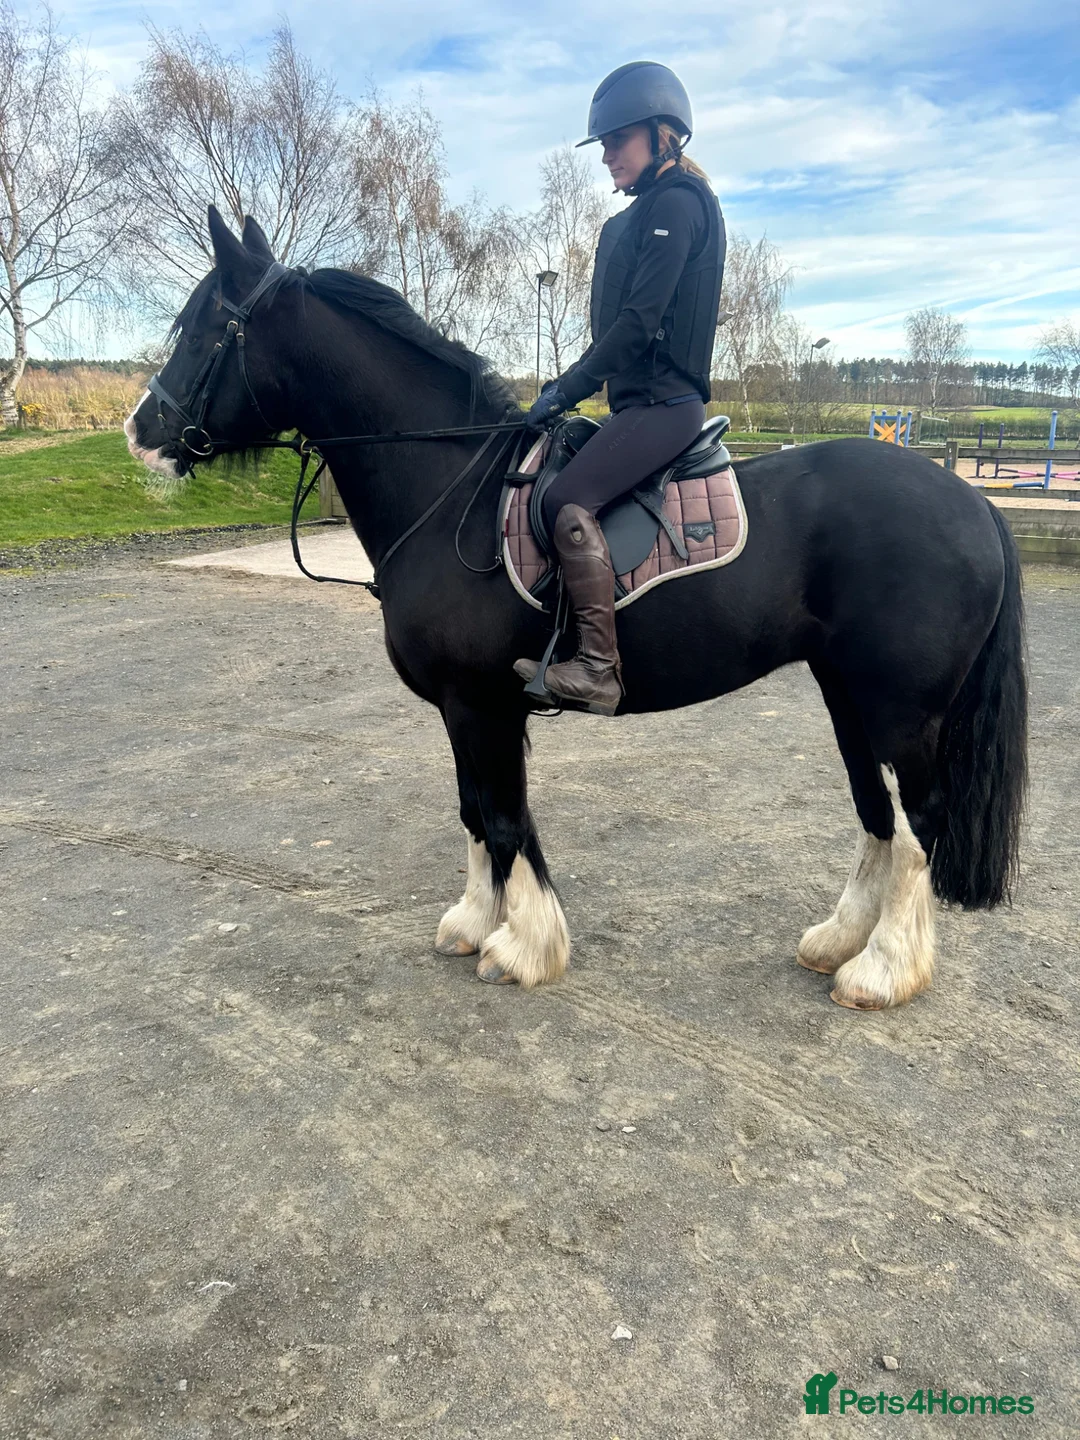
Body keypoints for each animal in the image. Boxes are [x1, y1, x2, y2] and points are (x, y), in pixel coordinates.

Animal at [125, 207, 1027, 1010]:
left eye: (205, 326)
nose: (141, 430)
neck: (450, 487)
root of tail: (972, 502)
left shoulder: (482, 704)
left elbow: (503, 816)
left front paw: (523, 946)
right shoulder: (462, 708)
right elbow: (474, 811)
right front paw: (475, 922)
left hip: (901, 711)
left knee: (920, 824)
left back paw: (882, 972)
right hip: (848, 695)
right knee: (878, 814)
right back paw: (840, 942)